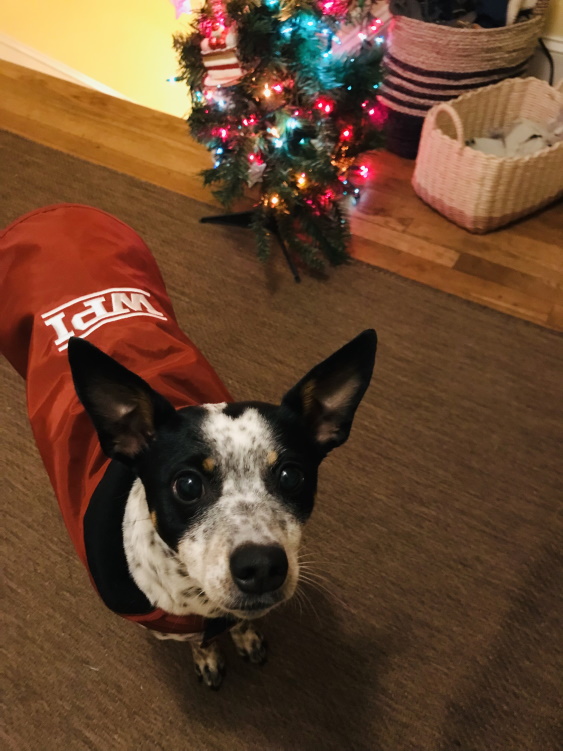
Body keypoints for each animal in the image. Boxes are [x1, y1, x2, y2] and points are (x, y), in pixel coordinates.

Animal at [1, 203, 378, 692]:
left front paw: (244, 636)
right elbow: (199, 642)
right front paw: (209, 656)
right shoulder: (172, 628)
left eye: (292, 475)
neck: (199, 599)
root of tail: (57, 211)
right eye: (187, 484)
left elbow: (240, 623)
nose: (261, 566)